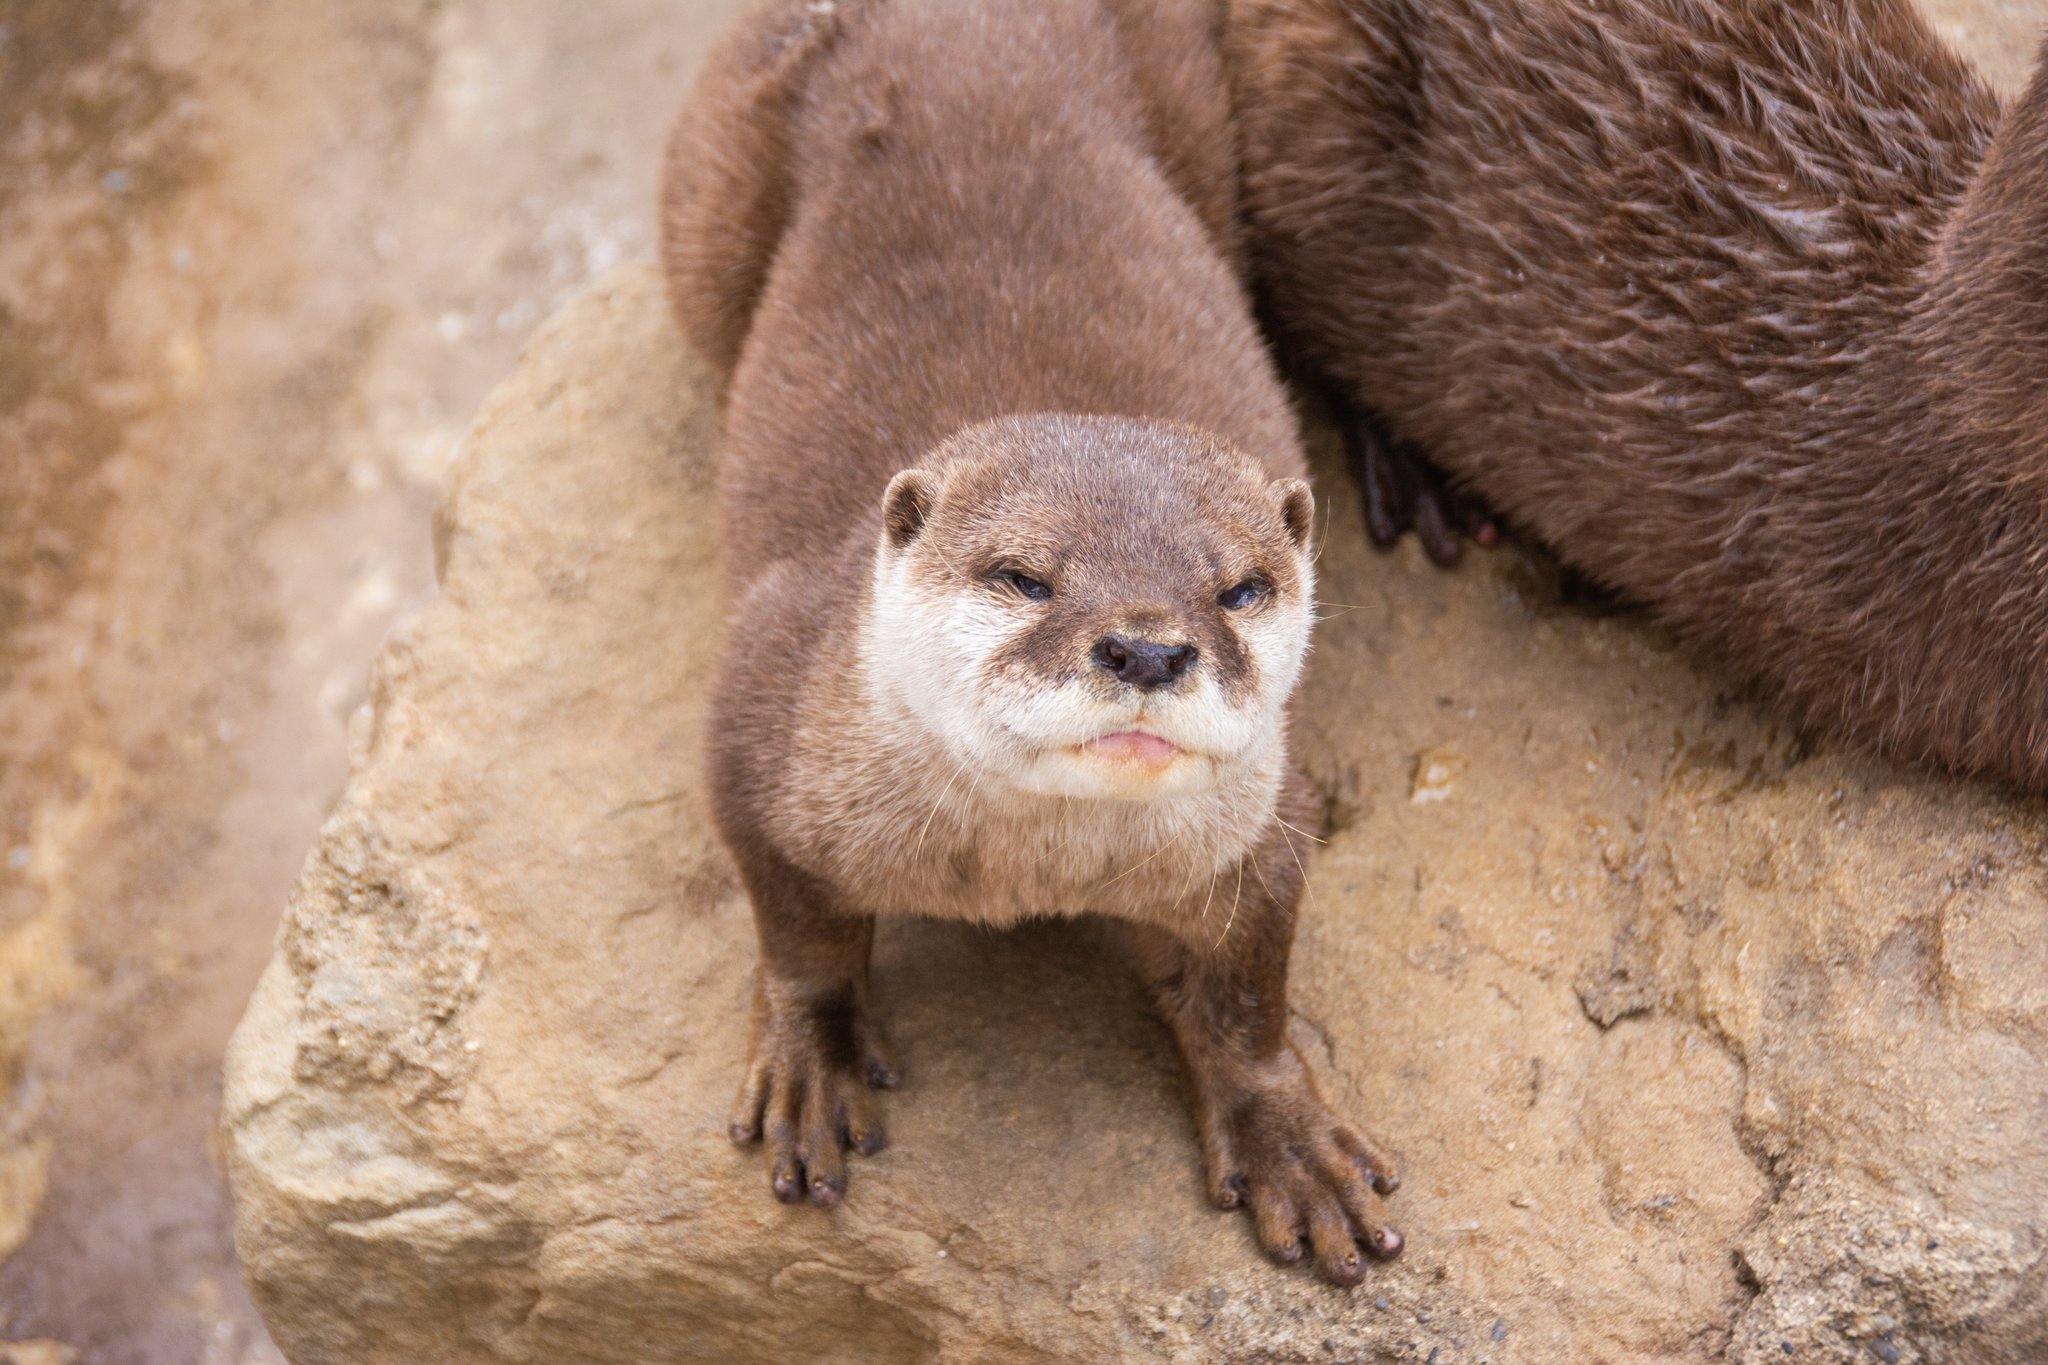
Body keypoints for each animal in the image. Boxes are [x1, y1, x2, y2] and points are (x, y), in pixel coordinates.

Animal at [663, 0, 1400, 1285]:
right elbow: (798, 928)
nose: (1148, 650)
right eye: (1023, 576)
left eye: (1240, 588)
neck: (1022, 874)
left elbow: (1245, 994)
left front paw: (1284, 1135)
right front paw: (811, 1057)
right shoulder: (756, 721)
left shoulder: (1263, 824)